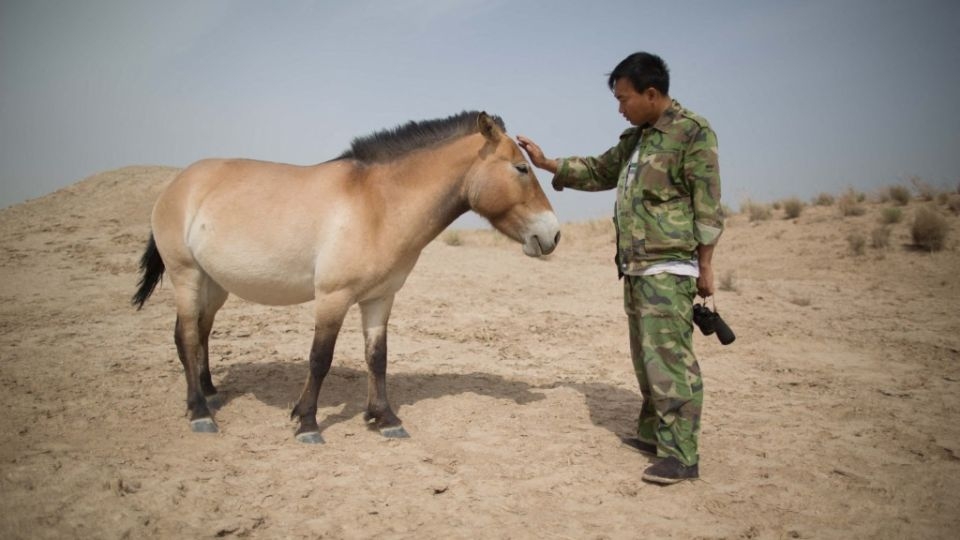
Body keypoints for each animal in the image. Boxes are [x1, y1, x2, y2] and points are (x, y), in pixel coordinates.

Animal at [132, 111, 561, 443]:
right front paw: (306, 422)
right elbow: (320, 358)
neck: (377, 204)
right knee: (188, 336)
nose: (552, 234)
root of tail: (179, 184)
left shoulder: (380, 298)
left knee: (200, 332)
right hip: (187, 275)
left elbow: (378, 357)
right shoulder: (332, 297)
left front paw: (385, 419)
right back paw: (200, 413)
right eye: (521, 168)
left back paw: (209, 394)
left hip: (215, 283)